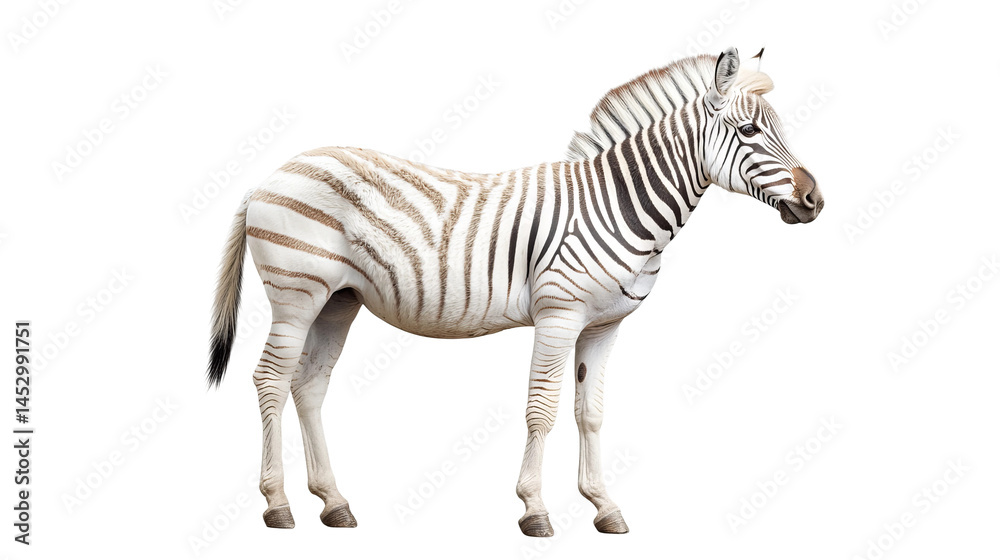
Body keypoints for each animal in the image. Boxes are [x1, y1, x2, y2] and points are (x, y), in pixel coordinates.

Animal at [206, 47, 823, 537]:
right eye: (749, 132)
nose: (815, 200)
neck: (619, 206)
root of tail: (271, 173)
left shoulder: (604, 326)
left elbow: (590, 413)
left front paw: (604, 507)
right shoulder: (559, 315)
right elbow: (542, 409)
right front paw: (535, 510)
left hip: (339, 300)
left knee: (308, 386)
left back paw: (333, 503)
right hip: (296, 295)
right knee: (270, 379)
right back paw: (278, 505)